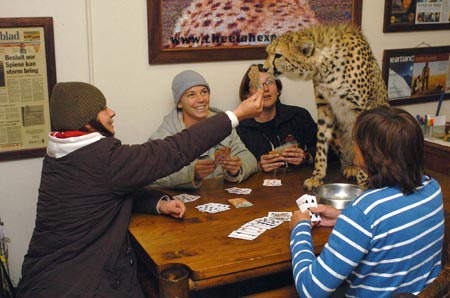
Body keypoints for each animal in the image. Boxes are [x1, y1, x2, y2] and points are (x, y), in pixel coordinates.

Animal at [266, 23, 388, 191]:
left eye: (278, 55)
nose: (264, 68)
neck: (326, 64)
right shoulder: (325, 107)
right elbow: (321, 142)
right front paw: (317, 176)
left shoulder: (363, 109)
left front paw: (365, 181)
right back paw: (351, 167)